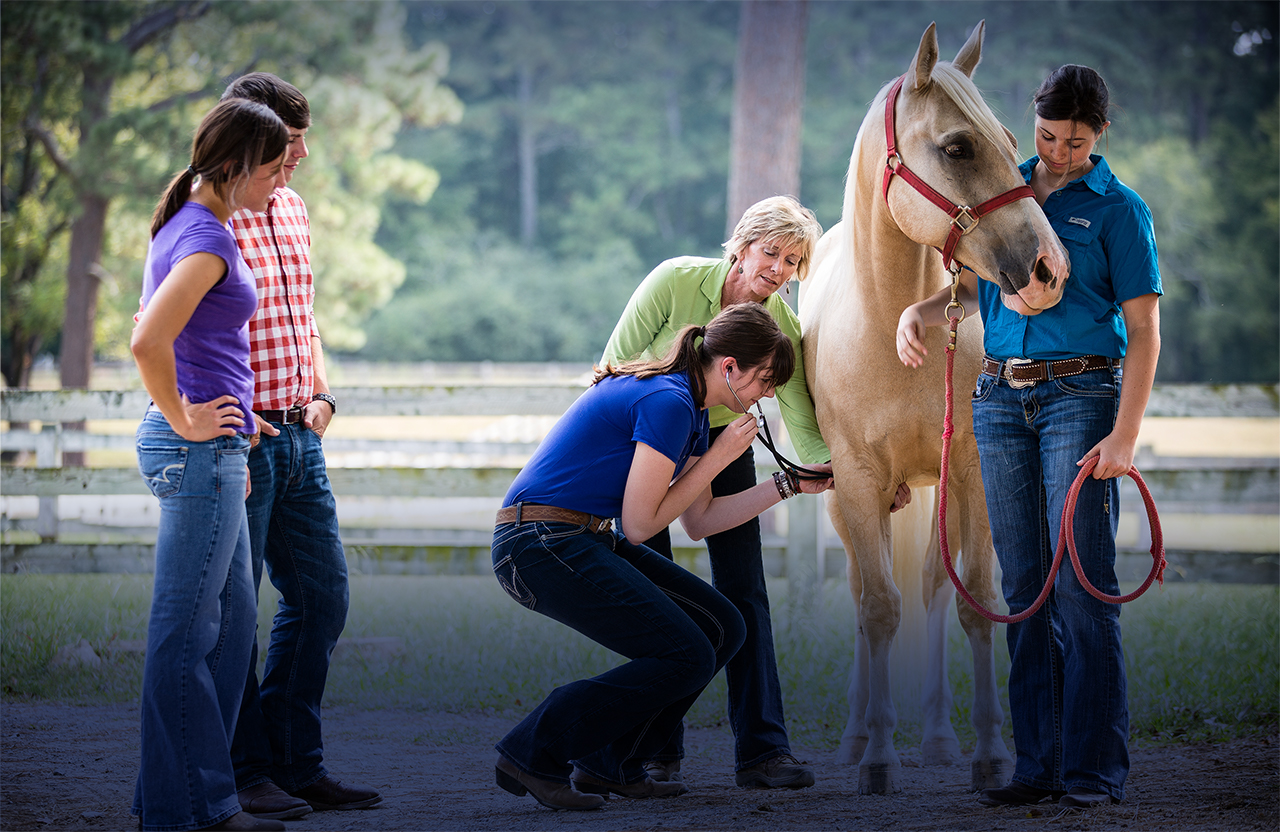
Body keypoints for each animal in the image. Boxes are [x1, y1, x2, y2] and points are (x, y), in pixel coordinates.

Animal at [798, 22, 1070, 793]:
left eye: (1011, 139)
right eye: (957, 147)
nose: (1049, 269)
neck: (891, 327)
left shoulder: (975, 471)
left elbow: (975, 599)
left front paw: (988, 753)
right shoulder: (859, 483)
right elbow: (877, 607)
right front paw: (878, 757)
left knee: (933, 590)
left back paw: (940, 737)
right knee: (868, 594)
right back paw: (859, 736)